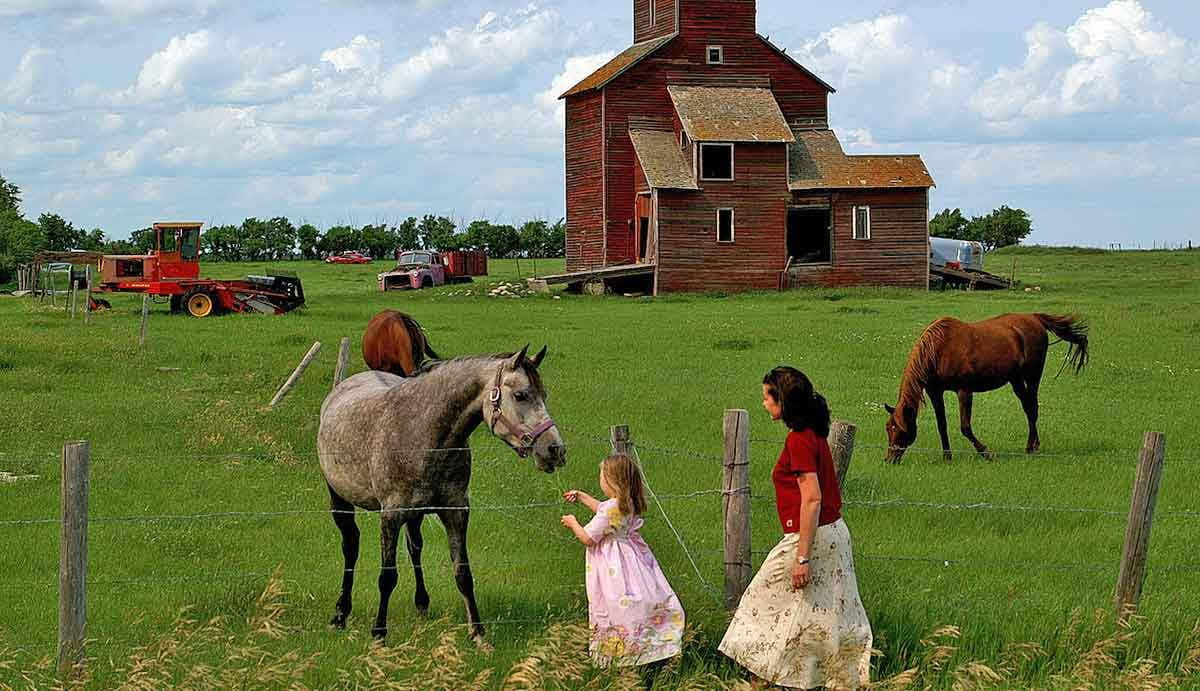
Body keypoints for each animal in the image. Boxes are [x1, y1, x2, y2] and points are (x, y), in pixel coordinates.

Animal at [316, 345, 564, 643]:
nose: (555, 449)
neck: (422, 431)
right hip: (339, 500)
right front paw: (378, 634)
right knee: (351, 547)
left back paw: (421, 603)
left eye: (544, 395)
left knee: (414, 548)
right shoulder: (391, 516)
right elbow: (387, 577)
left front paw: (478, 633)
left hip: (415, 515)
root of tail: (339, 389)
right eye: (520, 395)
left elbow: (463, 573)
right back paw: (341, 613)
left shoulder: (455, 512)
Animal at [883, 311, 1089, 465]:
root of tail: (1035, 318)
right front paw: (947, 457)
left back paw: (1030, 447)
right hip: (1015, 380)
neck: (939, 350)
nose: (889, 459)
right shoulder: (935, 392)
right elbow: (942, 425)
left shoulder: (964, 391)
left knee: (1032, 408)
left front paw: (986, 453)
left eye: (899, 428)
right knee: (1028, 407)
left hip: (1033, 376)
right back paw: (1033, 445)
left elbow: (965, 427)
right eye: (888, 428)